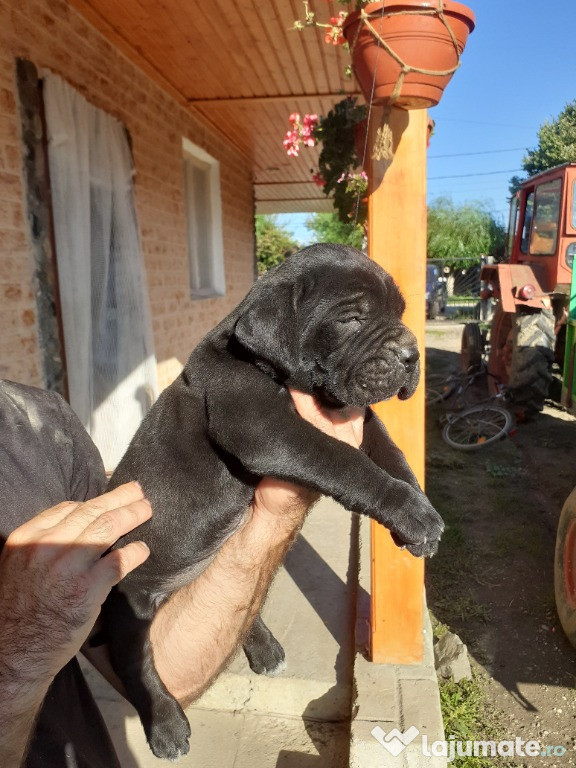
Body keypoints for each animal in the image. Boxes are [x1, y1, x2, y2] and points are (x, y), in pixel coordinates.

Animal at [103, 243, 444, 760]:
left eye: (400, 314)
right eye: (351, 319)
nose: (411, 355)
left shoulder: (359, 418)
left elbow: (390, 453)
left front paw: (419, 514)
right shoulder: (265, 427)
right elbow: (346, 461)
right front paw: (410, 512)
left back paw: (263, 646)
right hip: (127, 603)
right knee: (137, 664)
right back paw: (166, 726)